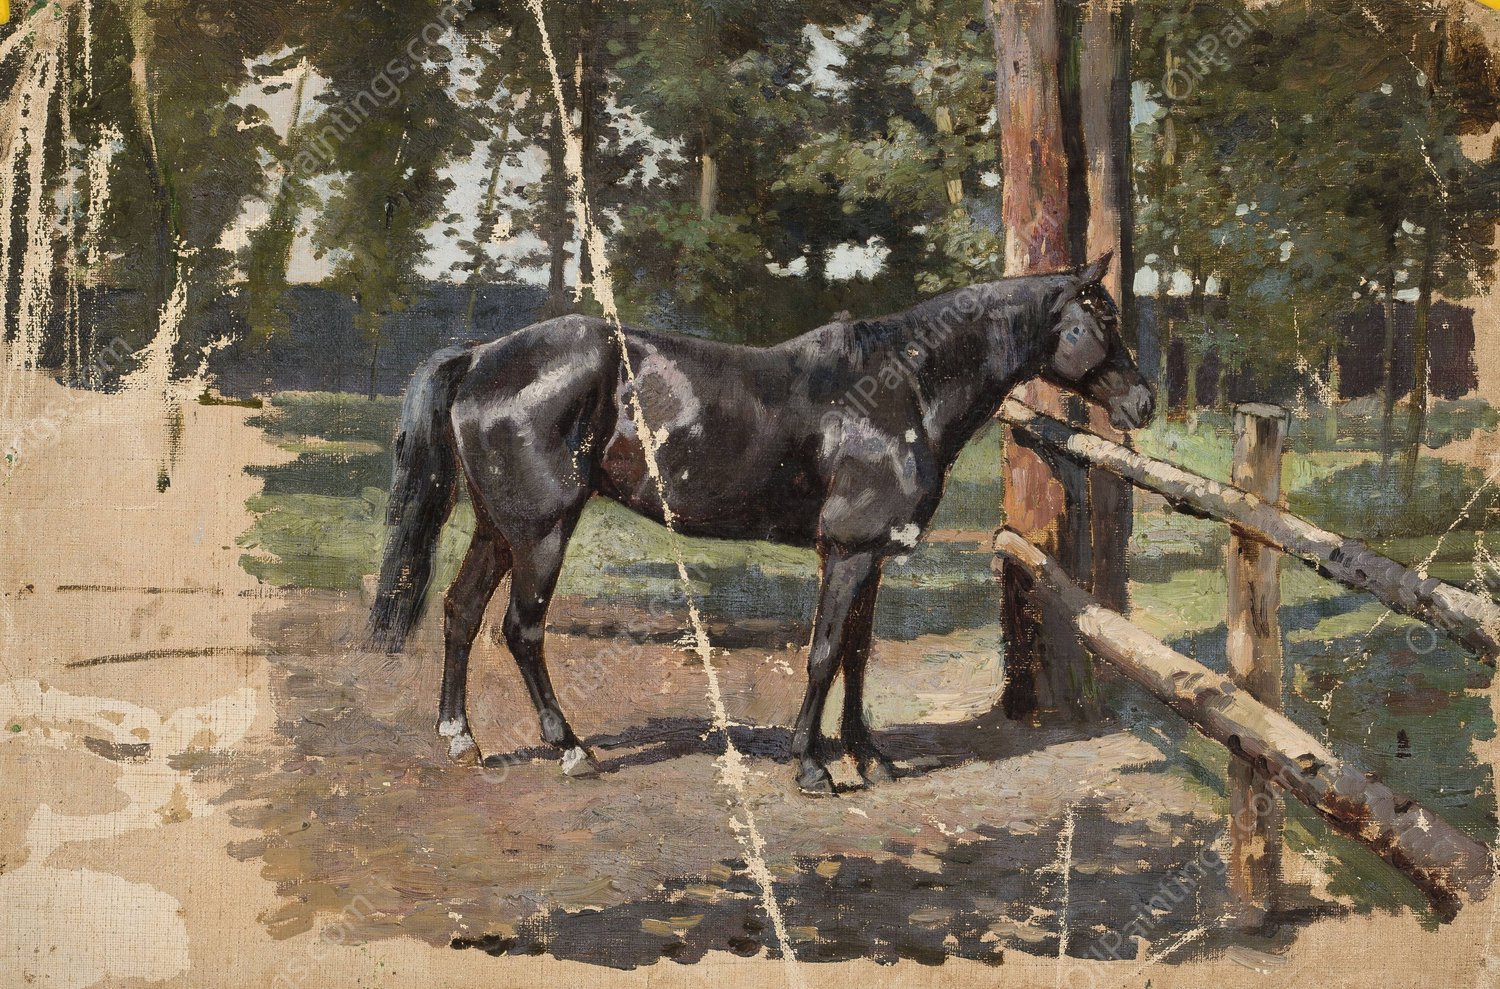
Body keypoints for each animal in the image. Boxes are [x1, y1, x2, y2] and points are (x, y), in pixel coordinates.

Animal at [368, 252, 1154, 795]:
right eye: (1096, 322)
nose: (1145, 402)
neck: (901, 386)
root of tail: (481, 357)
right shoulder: (847, 550)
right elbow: (825, 652)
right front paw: (811, 766)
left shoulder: (870, 554)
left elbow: (858, 655)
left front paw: (869, 756)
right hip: (542, 532)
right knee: (520, 630)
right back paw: (571, 750)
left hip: (499, 528)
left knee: (461, 611)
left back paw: (461, 738)